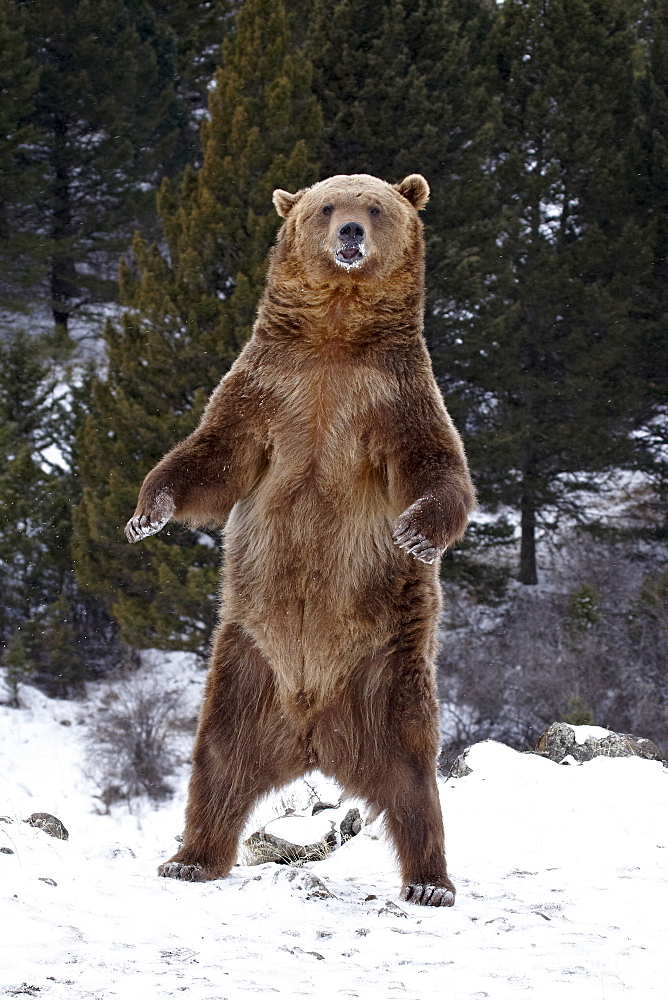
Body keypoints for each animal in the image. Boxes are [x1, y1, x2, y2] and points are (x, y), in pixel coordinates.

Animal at [125, 172, 478, 908]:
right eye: (325, 206)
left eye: (374, 205)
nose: (350, 233)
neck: (334, 338)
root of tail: (315, 732)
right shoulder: (268, 389)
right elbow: (213, 459)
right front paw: (148, 513)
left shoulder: (391, 399)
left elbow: (435, 465)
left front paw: (416, 532)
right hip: (246, 663)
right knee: (218, 761)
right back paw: (191, 858)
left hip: (389, 670)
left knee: (413, 778)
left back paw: (430, 881)